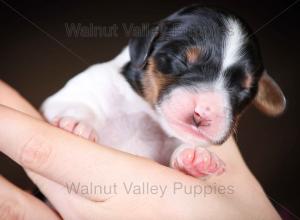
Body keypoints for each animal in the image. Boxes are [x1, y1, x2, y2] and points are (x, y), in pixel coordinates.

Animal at [40, 5, 286, 179]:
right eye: (181, 60)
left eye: (244, 88)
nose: (203, 113)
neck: (147, 113)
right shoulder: (83, 88)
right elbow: (77, 103)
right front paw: (77, 123)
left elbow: (180, 148)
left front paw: (197, 158)